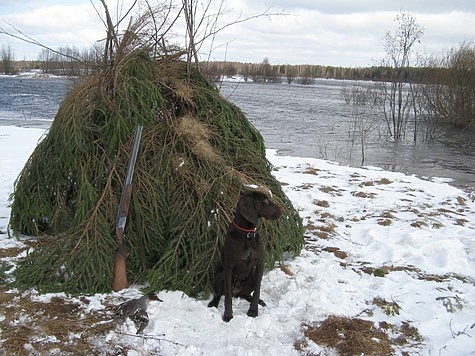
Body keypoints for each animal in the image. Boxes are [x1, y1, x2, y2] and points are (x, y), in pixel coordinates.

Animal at [207, 191, 282, 322]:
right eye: (265, 201)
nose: (282, 210)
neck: (247, 234)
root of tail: (236, 292)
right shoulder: (228, 267)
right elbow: (227, 298)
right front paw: (228, 315)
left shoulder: (260, 263)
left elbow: (257, 290)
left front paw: (253, 310)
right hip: (219, 276)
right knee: (219, 295)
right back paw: (214, 303)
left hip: (251, 278)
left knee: (246, 295)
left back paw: (258, 301)